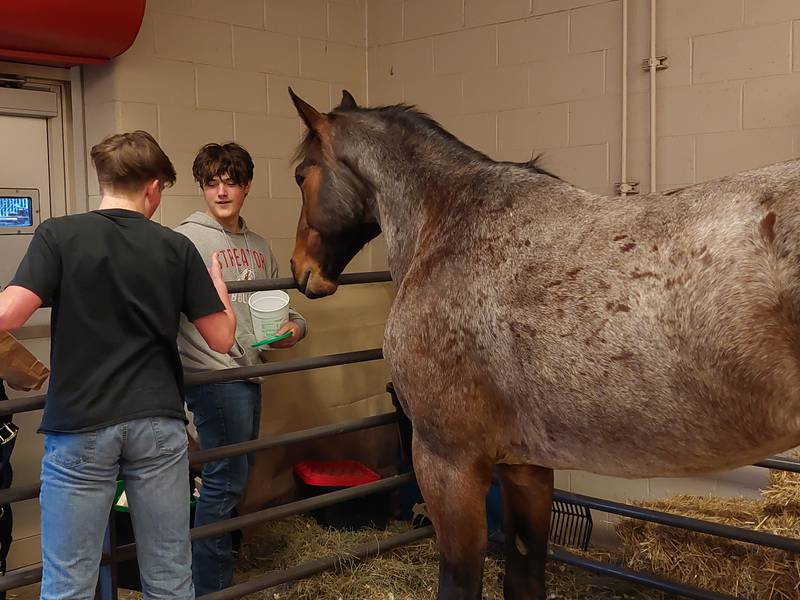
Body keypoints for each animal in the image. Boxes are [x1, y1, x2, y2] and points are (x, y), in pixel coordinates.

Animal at [286, 85, 800, 600]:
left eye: (300, 175)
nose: (300, 269)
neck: (450, 223)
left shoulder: (447, 462)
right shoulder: (526, 466)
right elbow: (525, 576)